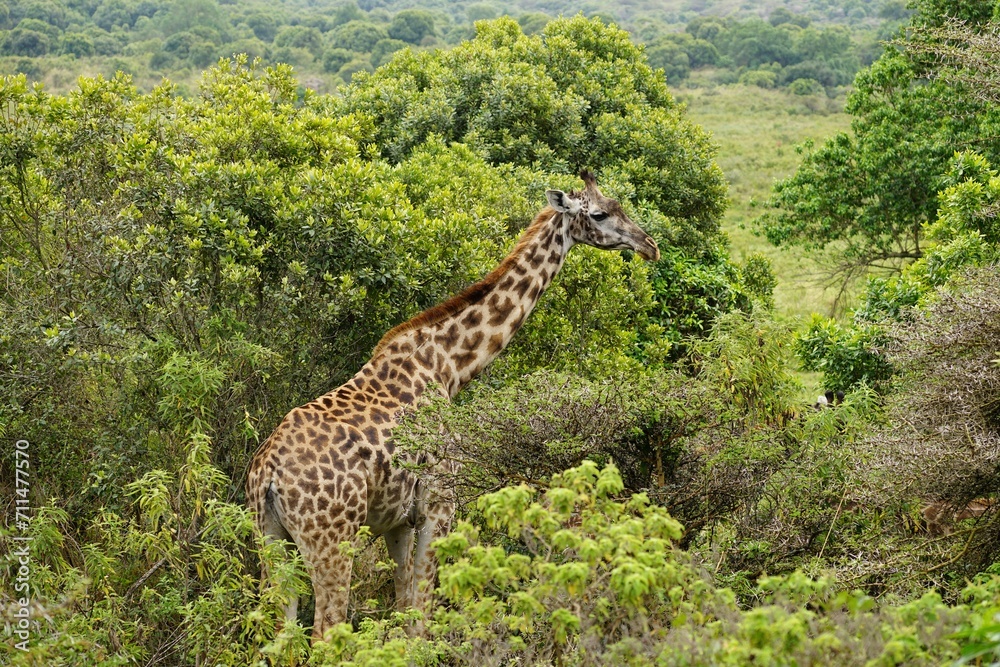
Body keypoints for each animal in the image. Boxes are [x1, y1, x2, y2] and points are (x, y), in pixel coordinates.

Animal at [246, 170, 660, 642]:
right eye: (600, 214)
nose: (650, 245)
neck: (450, 366)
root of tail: (268, 474)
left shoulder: (396, 521)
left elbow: (403, 606)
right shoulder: (439, 505)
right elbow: (421, 617)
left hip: (269, 539)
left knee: (279, 633)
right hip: (332, 539)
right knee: (324, 632)